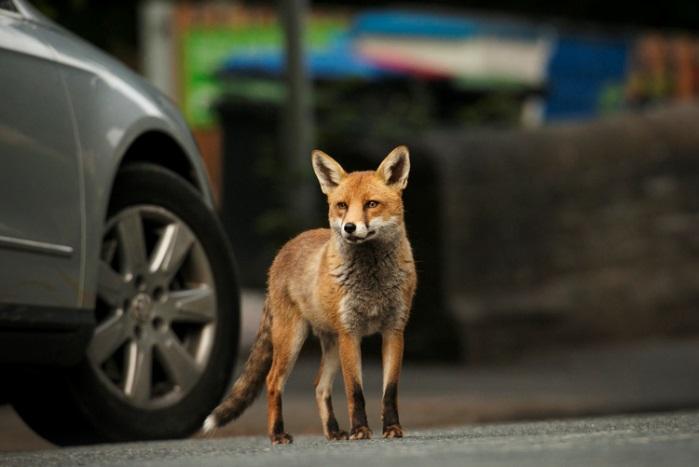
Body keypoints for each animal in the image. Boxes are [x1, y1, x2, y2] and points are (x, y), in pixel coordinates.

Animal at [205, 144, 418, 444]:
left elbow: (389, 391)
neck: (372, 281)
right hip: (292, 339)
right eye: (342, 205)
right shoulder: (350, 333)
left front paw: (392, 428)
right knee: (273, 381)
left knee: (319, 386)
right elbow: (355, 392)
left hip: (331, 344)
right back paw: (277, 434)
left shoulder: (393, 331)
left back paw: (332, 431)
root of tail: (287, 246)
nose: (349, 228)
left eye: (371, 204)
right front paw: (360, 430)